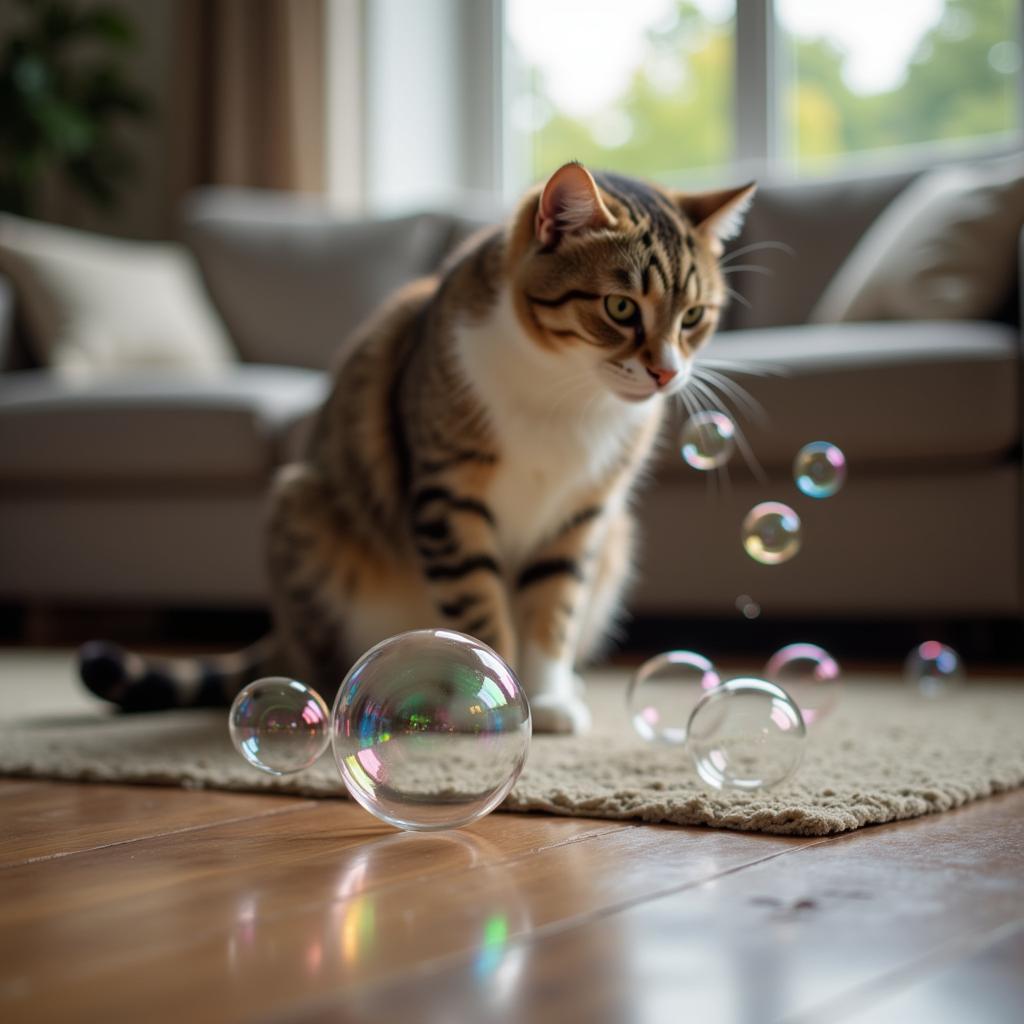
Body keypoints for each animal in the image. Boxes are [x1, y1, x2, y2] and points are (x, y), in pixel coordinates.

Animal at [79, 163, 753, 733]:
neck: (567, 392)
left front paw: (548, 696)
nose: (666, 374)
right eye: (619, 307)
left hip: (616, 538)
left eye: (694, 317)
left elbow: (552, 608)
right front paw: (501, 697)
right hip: (305, 511)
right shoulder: (448, 496)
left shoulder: (582, 513)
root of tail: (283, 638)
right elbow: (479, 604)